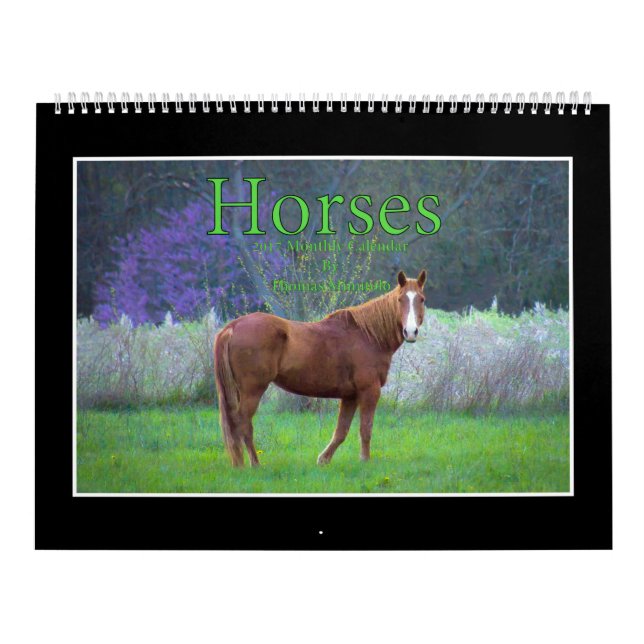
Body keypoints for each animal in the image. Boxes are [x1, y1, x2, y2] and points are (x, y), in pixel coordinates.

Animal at [214, 269, 427, 467]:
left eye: (422, 299)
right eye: (400, 299)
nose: (410, 332)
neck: (368, 335)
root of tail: (233, 326)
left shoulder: (350, 396)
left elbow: (341, 431)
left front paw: (324, 460)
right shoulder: (369, 391)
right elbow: (365, 428)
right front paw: (365, 460)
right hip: (253, 390)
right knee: (244, 423)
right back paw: (255, 464)